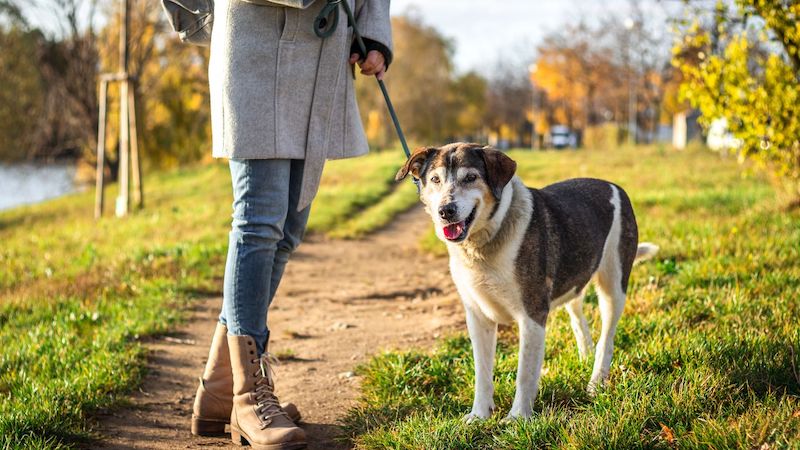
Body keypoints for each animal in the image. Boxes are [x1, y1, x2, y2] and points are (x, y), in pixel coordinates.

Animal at [396, 142, 660, 420]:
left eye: (470, 178)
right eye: (435, 180)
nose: (445, 211)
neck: (486, 240)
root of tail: (613, 186)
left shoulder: (532, 315)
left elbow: (525, 373)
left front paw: (518, 418)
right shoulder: (478, 317)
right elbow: (482, 373)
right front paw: (479, 415)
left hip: (614, 284)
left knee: (607, 338)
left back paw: (596, 381)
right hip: (575, 276)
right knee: (577, 315)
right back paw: (585, 356)